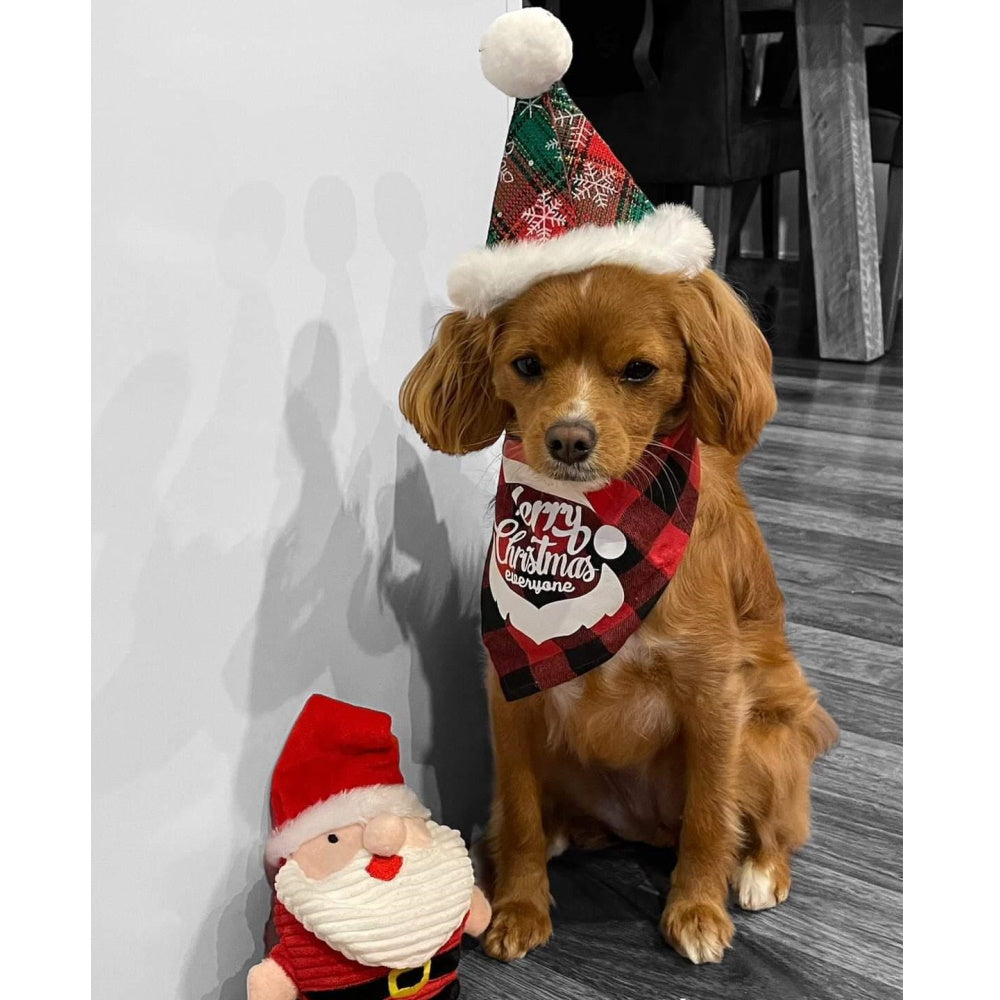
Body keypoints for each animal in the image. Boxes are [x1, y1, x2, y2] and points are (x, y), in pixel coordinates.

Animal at [398, 262, 836, 964]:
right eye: (527, 364)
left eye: (638, 370)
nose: (569, 439)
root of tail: (645, 827)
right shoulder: (511, 696)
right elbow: (519, 810)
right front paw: (519, 906)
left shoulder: (715, 695)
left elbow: (710, 815)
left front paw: (696, 910)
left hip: (765, 739)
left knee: (773, 824)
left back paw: (761, 872)